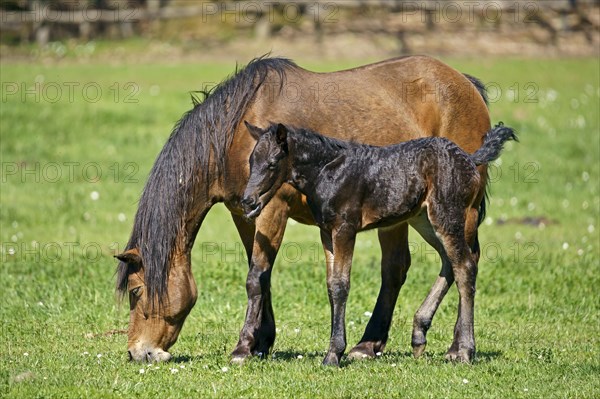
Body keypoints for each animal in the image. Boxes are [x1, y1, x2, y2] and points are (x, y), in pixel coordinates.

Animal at [115, 54, 490, 364]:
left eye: (135, 291)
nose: (137, 353)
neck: (234, 134)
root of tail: (467, 83)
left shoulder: (272, 209)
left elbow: (255, 277)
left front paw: (243, 347)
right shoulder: (244, 212)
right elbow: (259, 273)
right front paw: (262, 341)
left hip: (454, 213)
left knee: (458, 263)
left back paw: (448, 347)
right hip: (415, 215)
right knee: (435, 263)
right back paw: (397, 337)